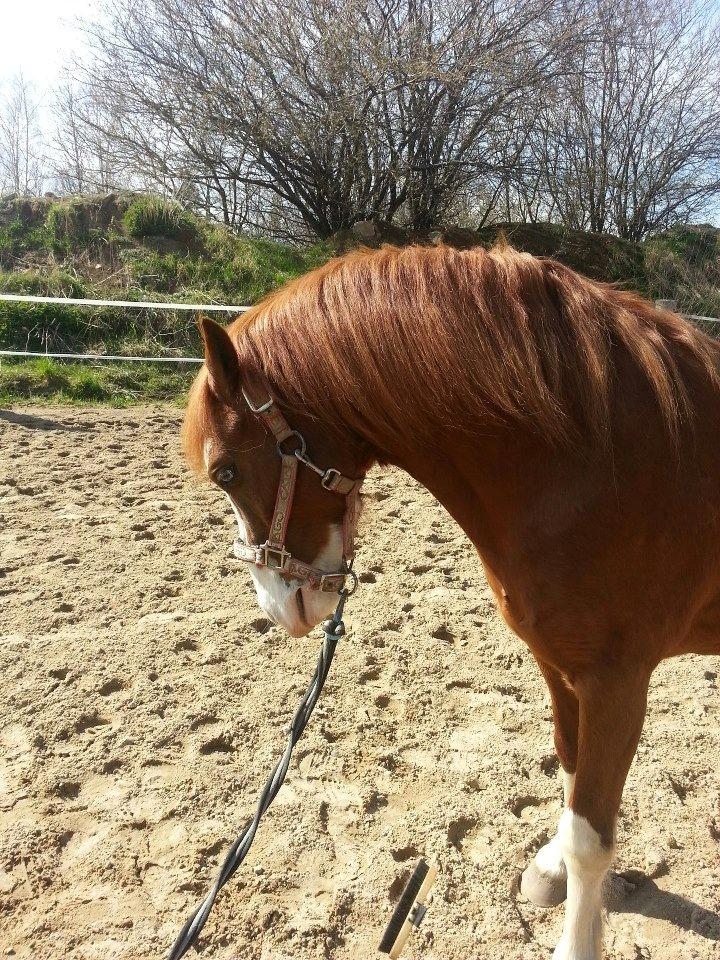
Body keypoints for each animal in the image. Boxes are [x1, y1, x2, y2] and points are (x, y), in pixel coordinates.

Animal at [182, 241, 720, 960]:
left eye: (226, 471)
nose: (276, 605)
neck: (603, 459)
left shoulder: (617, 680)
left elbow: (591, 835)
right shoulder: (560, 667)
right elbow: (570, 771)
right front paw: (550, 869)